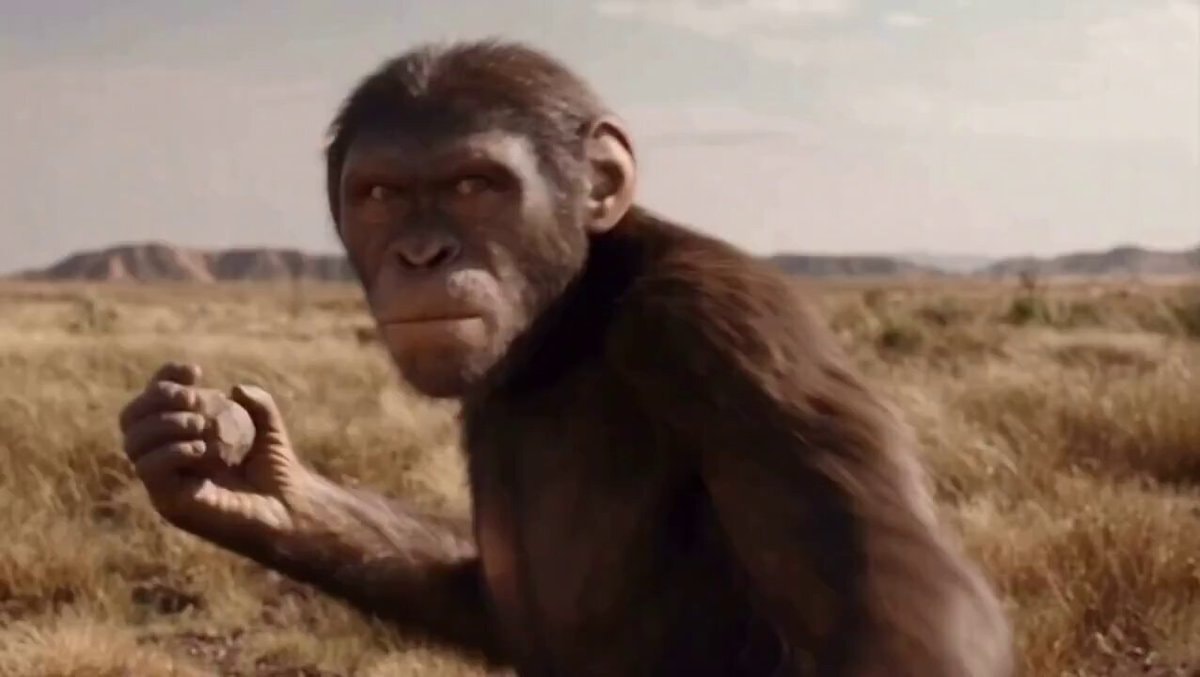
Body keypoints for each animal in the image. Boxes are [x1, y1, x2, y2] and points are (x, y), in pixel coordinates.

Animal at [117, 39, 1014, 676]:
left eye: (475, 184)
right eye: (379, 194)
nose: (422, 253)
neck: (568, 322)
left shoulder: (720, 329)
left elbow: (893, 615)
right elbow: (482, 593)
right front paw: (264, 486)